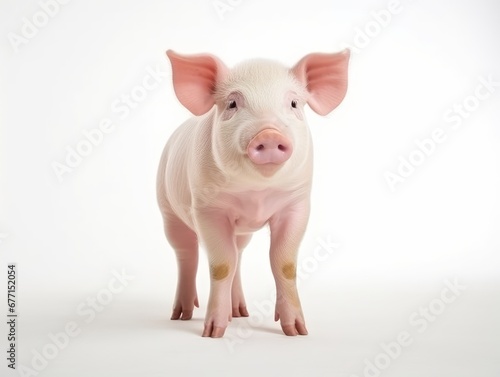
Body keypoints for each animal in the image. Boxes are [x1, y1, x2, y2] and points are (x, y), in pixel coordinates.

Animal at [155, 47, 348, 338]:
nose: (268, 135)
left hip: (242, 232)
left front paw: (297, 332)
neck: (256, 193)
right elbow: (221, 266)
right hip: (168, 210)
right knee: (186, 254)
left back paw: (239, 313)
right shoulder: (207, 208)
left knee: (238, 254)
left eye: (294, 104)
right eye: (233, 104)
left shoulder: (297, 204)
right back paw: (182, 315)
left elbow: (284, 264)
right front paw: (213, 333)